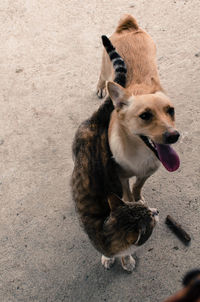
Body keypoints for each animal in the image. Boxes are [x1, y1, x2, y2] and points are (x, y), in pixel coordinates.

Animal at [97, 14, 180, 203]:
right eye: (145, 116)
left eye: (170, 111)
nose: (174, 136)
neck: (141, 154)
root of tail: (129, 27)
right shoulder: (121, 176)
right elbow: (127, 191)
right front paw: (130, 201)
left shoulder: (147, 173)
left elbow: (137, 186)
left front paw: (138, 198)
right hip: (105, 67)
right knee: (101, 76)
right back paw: (100, 88)